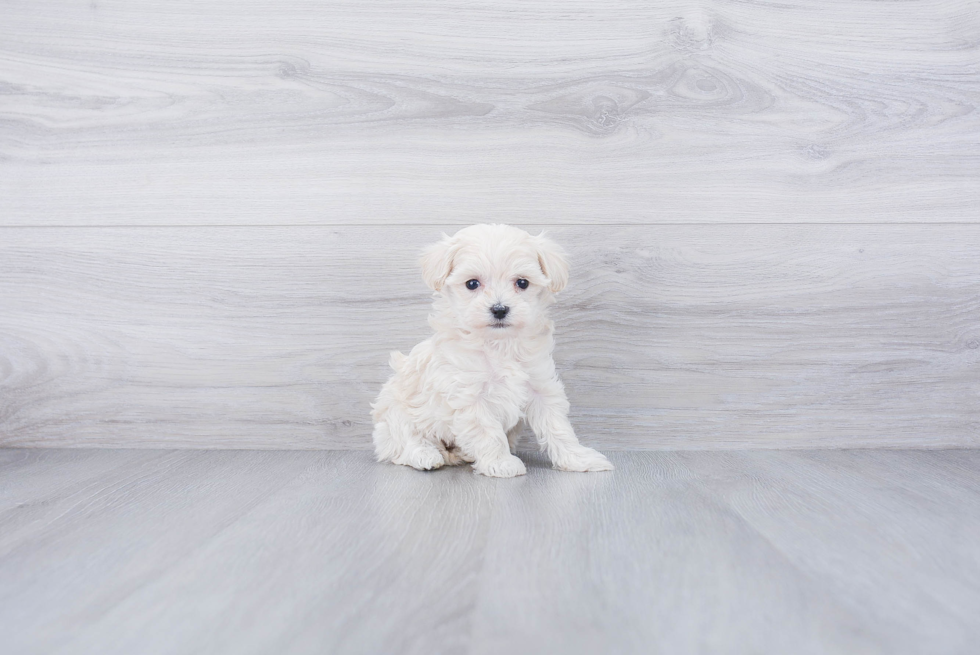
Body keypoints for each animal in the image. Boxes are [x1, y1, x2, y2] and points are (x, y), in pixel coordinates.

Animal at [370, 224, 612, 476]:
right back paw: (424, 455)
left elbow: (558, 426)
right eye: (472, 283)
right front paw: (501, 462)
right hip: (395, 411)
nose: (499, 309)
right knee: (403, 442)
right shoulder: (469, 395)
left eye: (522, 283)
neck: (499, 344)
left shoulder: (541, 386)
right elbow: (487, 431)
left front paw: (578, 458)